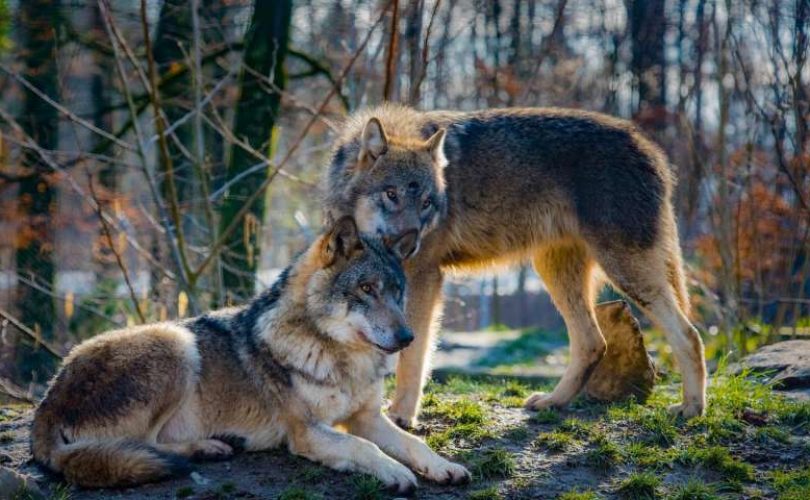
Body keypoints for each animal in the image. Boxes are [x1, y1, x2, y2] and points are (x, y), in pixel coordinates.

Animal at [31, 217, 470, 490]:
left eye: (397, 292)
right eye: (366, 289)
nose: (408, 336)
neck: (339, 357)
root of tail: (47, 402)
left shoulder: (366, 417)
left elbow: (413, 443)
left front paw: (443, 467)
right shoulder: (306, 432)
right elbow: (365, 448)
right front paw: (395, 473)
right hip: (176, 342)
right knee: (143, 445)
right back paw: (207, 447)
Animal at [326, 103, 704, 428]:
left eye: (427, 203)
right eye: (391, 194)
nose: (410, 243)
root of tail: (650, 147)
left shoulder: (423, 277)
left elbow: (412, 355)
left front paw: (401, 416)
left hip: (626, 273)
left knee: (689, 334)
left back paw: (692, 408)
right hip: (556, 272)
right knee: (593, 342)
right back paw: (553, 402)